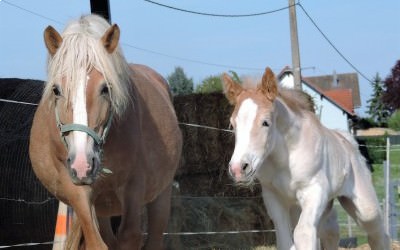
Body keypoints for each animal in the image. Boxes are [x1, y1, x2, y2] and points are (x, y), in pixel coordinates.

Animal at [28, 14, 182, 249]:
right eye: (56, 90)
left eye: (105, 89)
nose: (83, 163)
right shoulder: (77, 189)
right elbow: (97, 242)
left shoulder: (134, 187)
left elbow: (130, 236)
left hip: (161, 195)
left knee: (154, 239)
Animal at [220, 67, 390, 249]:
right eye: (232, 124)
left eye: (265, 122)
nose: (238, 168)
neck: (284, 160)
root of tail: (347, 141)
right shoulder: (273, 197)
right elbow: (285, 240)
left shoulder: (314, 190)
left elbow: (303, 233)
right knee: (330, 231)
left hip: (364, 208)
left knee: (377, 233)